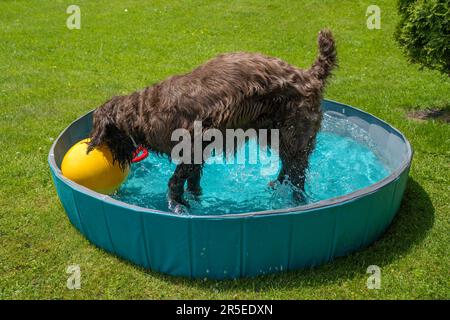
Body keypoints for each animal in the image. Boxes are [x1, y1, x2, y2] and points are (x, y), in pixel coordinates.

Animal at [88, 28, 336, 211]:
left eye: (106, 138)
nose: (108, 156)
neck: (144, 112)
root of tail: (310, 75)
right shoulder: (197, 152)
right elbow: (193, 179)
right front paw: (195, 198)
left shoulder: (191, 146)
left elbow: (176, 181)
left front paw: (177, 203)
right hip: (275, 133)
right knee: (288, 165)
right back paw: (277, 185)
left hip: (295, 134)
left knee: (297, 174)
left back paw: (296, 203)